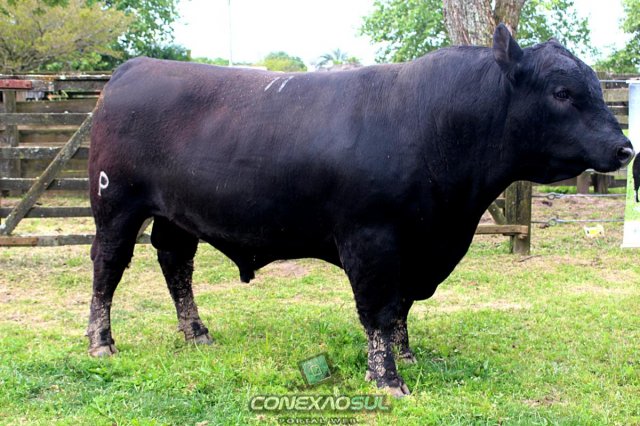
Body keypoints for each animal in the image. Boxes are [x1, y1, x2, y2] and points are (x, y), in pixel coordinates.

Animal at [87, 25, 633, 397]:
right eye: (562, 92)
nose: (626, 148)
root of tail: (135, 67)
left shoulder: (419, 246)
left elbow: (403, 306)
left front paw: (407, 355)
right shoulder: (372, 240)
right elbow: (379, 309)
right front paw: (387, 377)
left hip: (175, 215)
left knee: (176, 263)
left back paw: (197, 334)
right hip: (115, 204)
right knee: (108, 268)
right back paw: (101, 342)